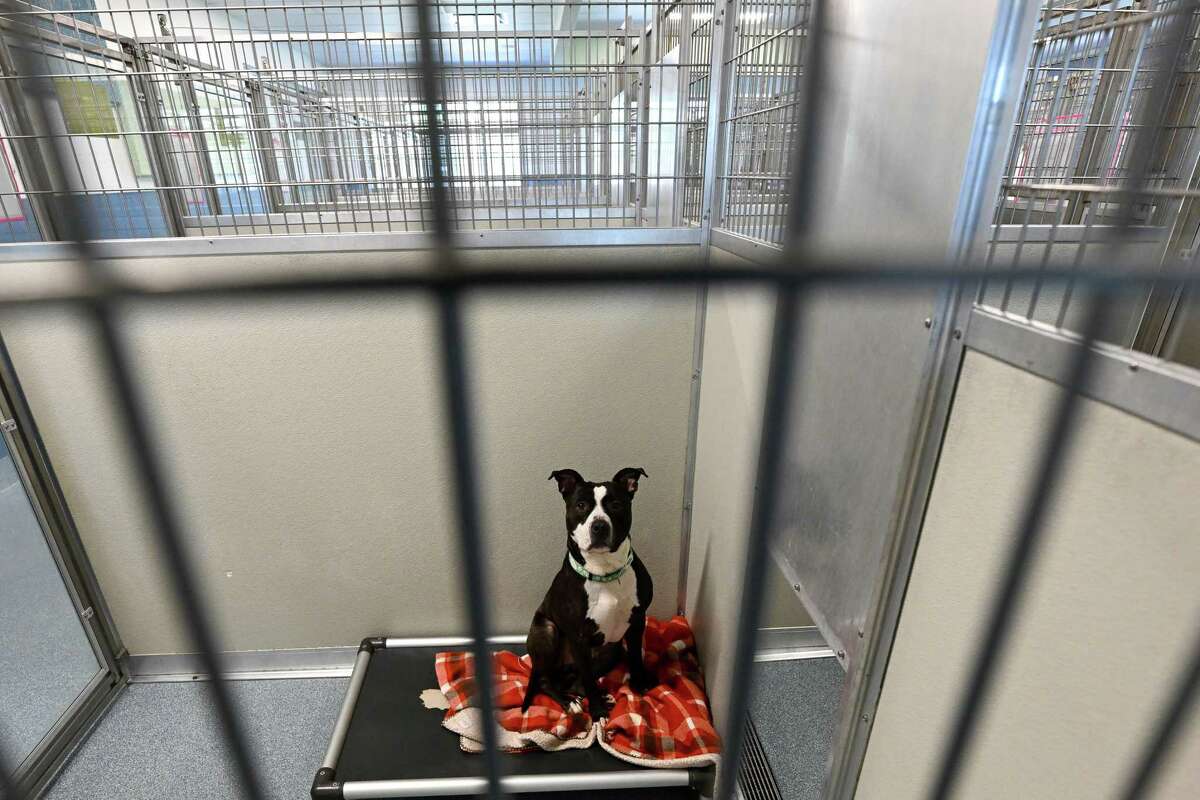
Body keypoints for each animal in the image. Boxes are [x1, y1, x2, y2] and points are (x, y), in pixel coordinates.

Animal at [523, 465, 657, 714]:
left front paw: (640, 684)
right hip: (547, 630)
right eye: (581, 505)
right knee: (548, 681)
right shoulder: (579, 639)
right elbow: (588, 679)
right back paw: (569, 702)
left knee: (575, 682)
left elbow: (636, 658)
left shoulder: (637, 623)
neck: (605, 572)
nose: (599, 526)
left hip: (611, 650)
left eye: (616, 504)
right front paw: (597, 713)